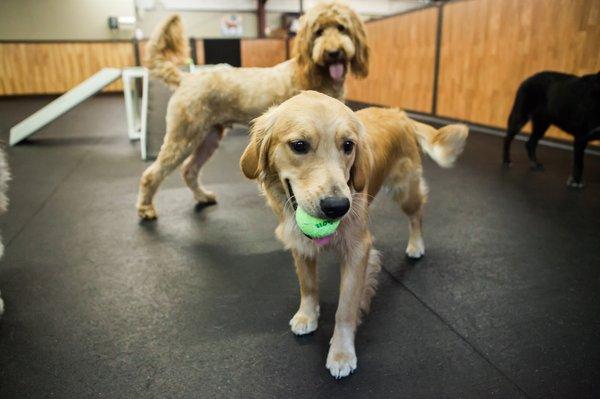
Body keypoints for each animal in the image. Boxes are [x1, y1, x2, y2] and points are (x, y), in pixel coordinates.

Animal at [138, 0, 368, 219]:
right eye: (319, 31)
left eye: (342, 28)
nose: (333, 53)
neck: (316, 72)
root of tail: (186, 78)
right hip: (183, 138)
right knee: (152, 174)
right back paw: (145, 208)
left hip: (208, 137)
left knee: (189, 170)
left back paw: (202, 196)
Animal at [239, 92, 468, 380]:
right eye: (299, 145)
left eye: (348, 145)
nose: (337, 207)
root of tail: (398, 113)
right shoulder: (300, 244)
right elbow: (308, 285)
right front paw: (307, 315)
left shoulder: (357, 251)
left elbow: (345, 309)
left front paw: (341, 353)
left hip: (405, 190)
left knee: (417, 215)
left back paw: (416, 244)